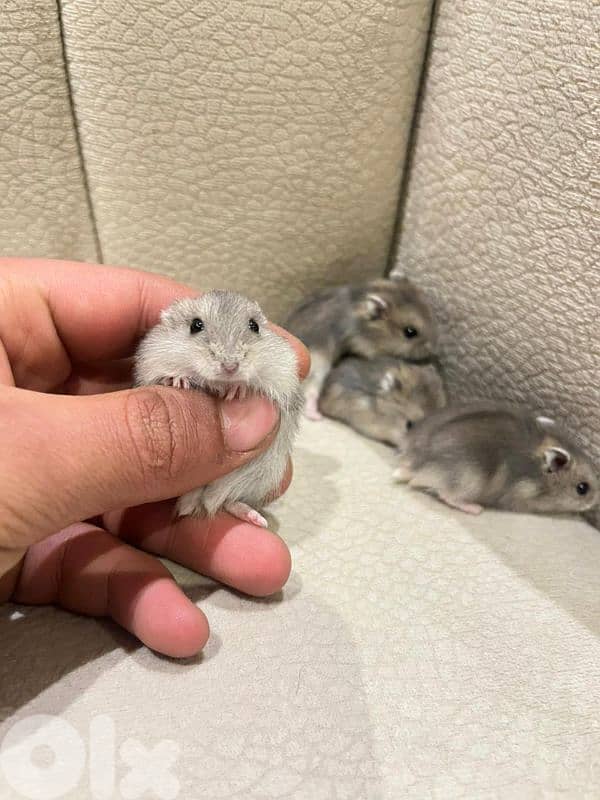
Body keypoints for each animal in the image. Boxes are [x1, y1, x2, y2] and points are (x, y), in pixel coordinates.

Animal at [134, 290, 304, 527]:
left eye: (254, 326)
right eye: (195, 325)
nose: (230, 367)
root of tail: (201, 499)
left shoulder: (282, 374)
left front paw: (237, 390)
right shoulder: (151, 363)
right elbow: (166, 375)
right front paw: (179, 381)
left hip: (263, 474)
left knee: (228, 501)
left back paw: (257, 519)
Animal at [393, 402, 599, 516]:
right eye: (582, 488)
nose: (595, 502)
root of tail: (415, 462)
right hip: (468, 481)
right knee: (446, 495)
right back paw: (475, 509)